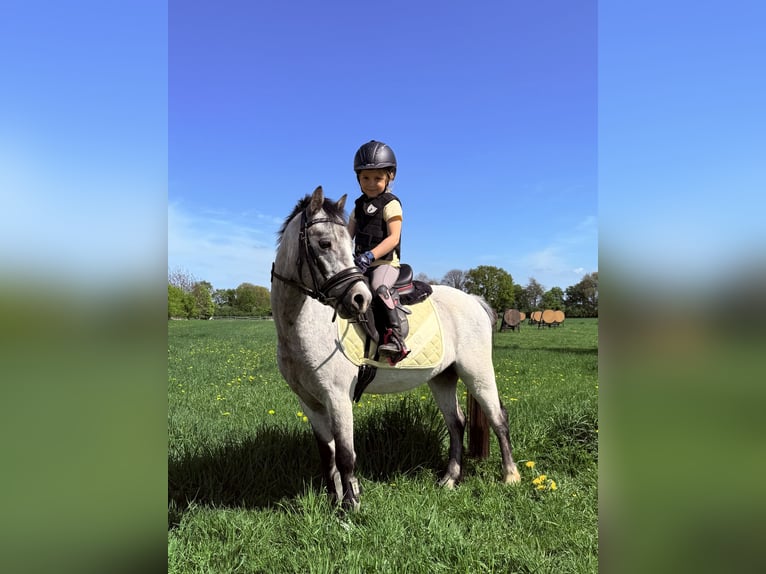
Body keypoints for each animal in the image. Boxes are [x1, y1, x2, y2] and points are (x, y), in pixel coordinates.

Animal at [270, 186, 520, 510]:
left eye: (347, 244)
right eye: (325, 243)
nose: (360, 299)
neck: (300, 324)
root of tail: (474, 300)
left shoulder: (338, 397)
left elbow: (346, 455)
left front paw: (351, 506)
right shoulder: (310, 402)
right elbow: (327, 455)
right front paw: (333, 501)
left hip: (476, 371)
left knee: (498, 417)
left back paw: (511, 476)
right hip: (443, 377)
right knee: (456, 423)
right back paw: (450, 479)